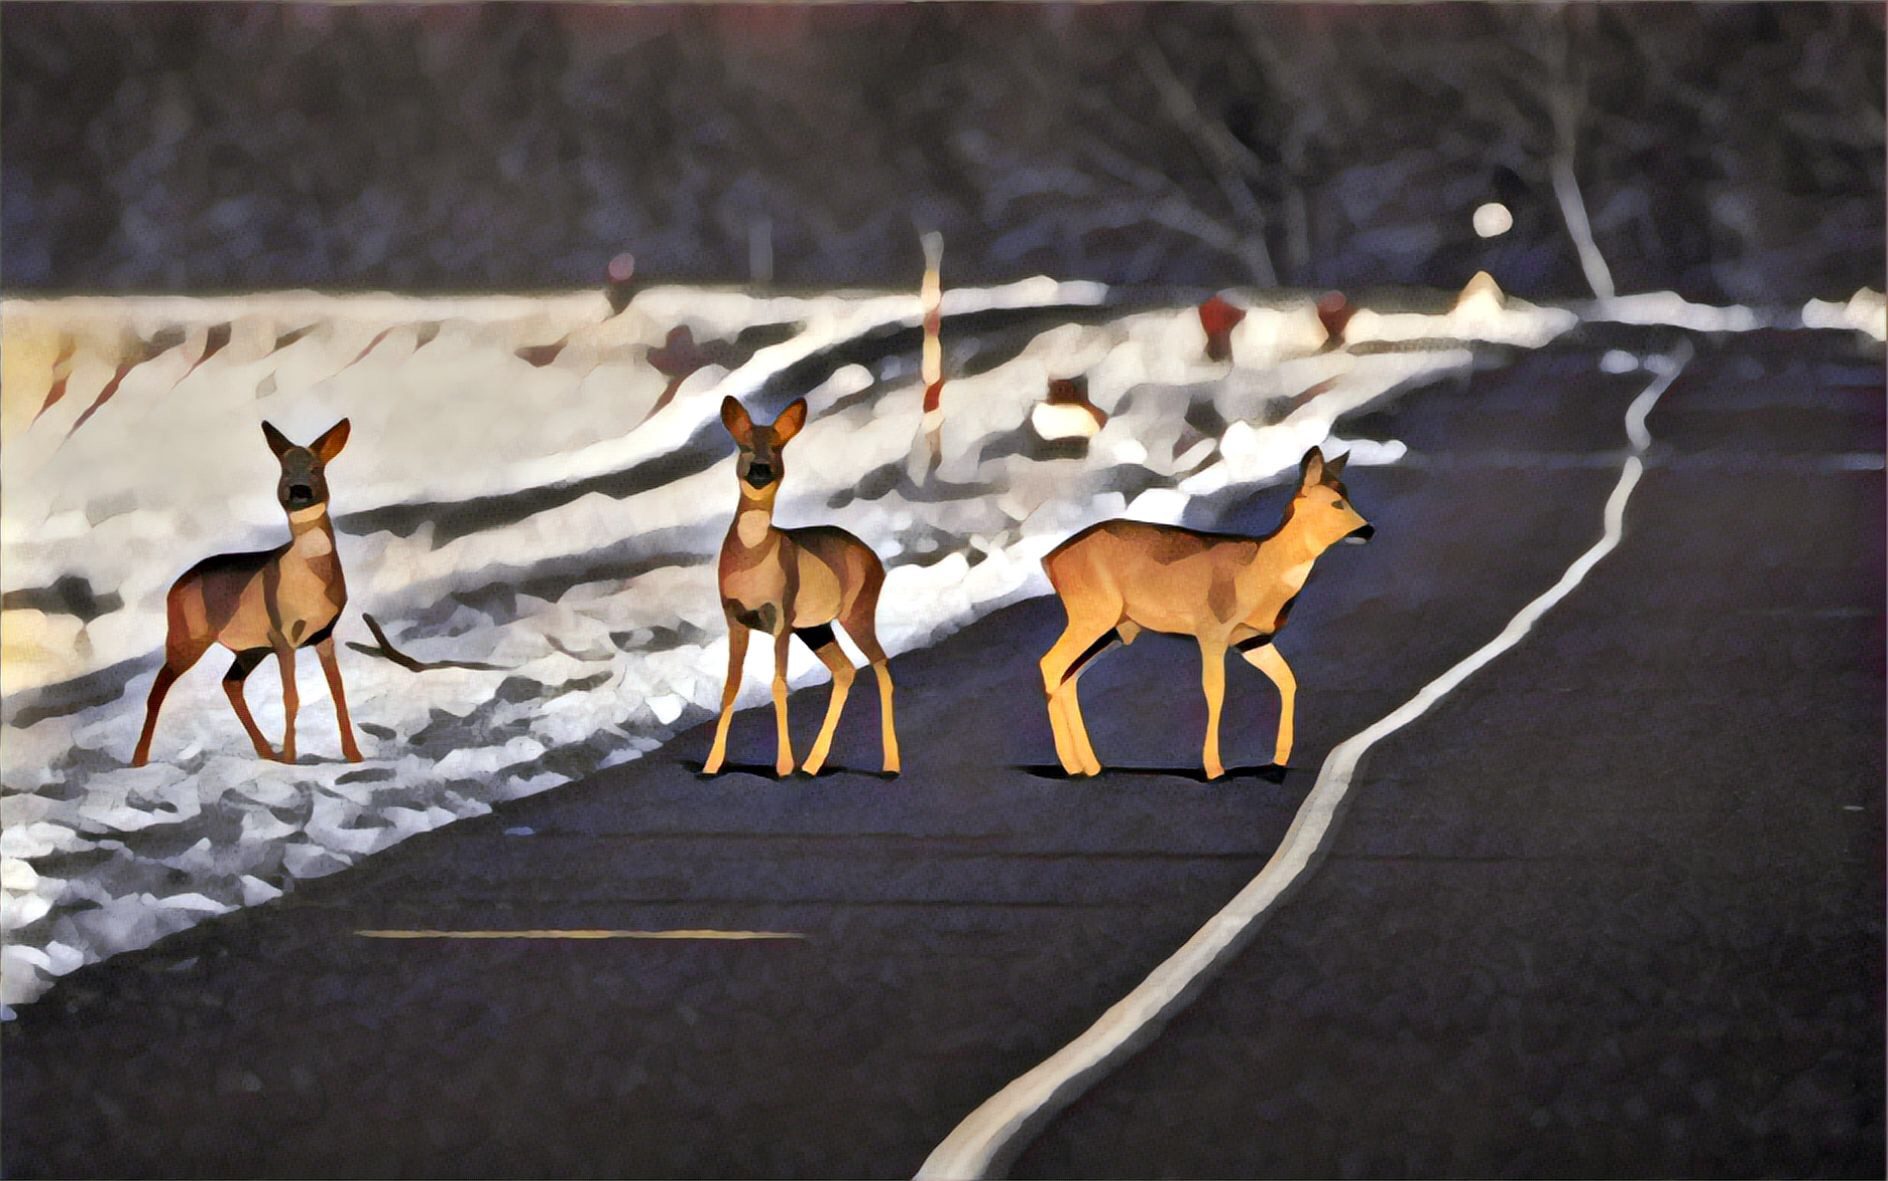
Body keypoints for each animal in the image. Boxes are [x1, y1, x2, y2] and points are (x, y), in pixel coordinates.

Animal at [1042, 445, 1382, 777]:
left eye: (1348, 495)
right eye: (1337, 503)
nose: (1369, 530)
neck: (1261, 570)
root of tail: (1049, 561)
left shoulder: (1251, 639)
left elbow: (1287, 679)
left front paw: (1280, 758)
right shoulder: (1212, 629)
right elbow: (1215, 690)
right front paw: (1214, 767)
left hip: (1116, 628)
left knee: (1069, 675)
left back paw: (1088, 765)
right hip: (1092, 612)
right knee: (1051, 663)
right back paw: (1073, 765)